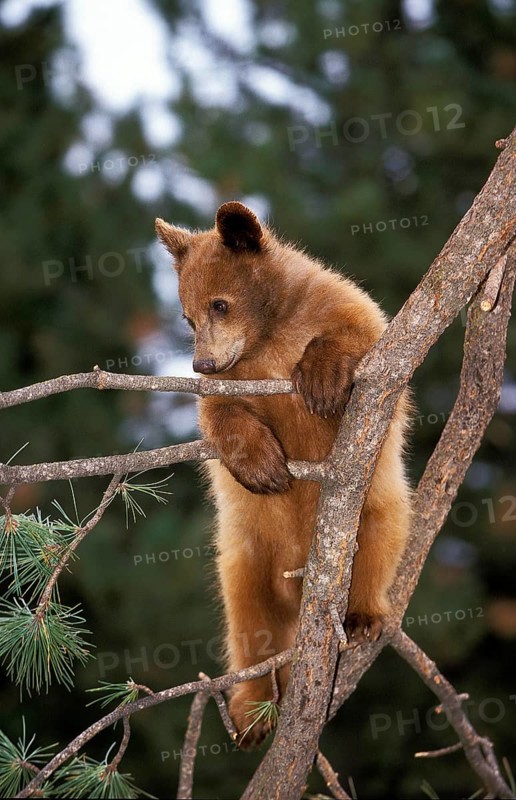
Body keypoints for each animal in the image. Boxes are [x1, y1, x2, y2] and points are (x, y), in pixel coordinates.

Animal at [155, 202, 411, 748]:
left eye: (221, 304)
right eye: (187, 316)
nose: (201, 362)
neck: (267, 338)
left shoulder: (333, 301)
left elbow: (368, 330)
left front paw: (322, 376)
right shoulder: (233, 380)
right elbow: (218, 416)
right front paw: (262, 466)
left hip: (376, 509)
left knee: (382, 543)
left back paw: (361, 616)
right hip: (247, 556)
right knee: (249, 627)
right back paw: (252, 710)